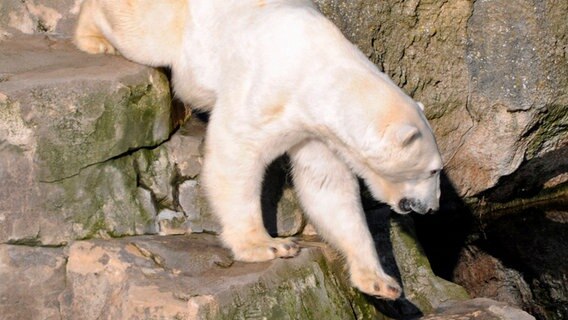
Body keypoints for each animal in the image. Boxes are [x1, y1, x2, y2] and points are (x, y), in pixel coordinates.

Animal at [74, 0, 444, 300]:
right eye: (434, 170)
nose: (433, 207)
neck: (324, 72)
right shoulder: (268, 91)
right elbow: (236, 152)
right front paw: (270, 245)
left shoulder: (317, 132)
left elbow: (327, 187)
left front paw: (382, 282)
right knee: (139, 32)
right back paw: (94, 38)